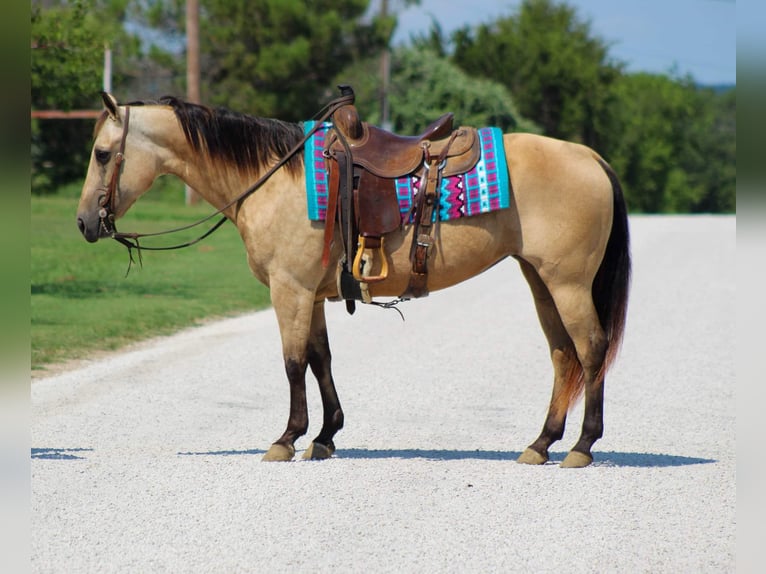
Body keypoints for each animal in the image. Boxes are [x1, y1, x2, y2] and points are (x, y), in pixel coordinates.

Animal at [76, 91, 630, 467]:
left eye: (102, 154)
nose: (84, 223)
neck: (274, 178)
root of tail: (591, 157)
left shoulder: (290, 290)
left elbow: (293, 362)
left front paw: (287, 438)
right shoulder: (313, 295)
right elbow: (320, 359)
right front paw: (324, 436)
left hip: (568, 283)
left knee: (591, 348)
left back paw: (582, 445)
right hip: (540, 280)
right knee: (563, 354)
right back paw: (541, 443)